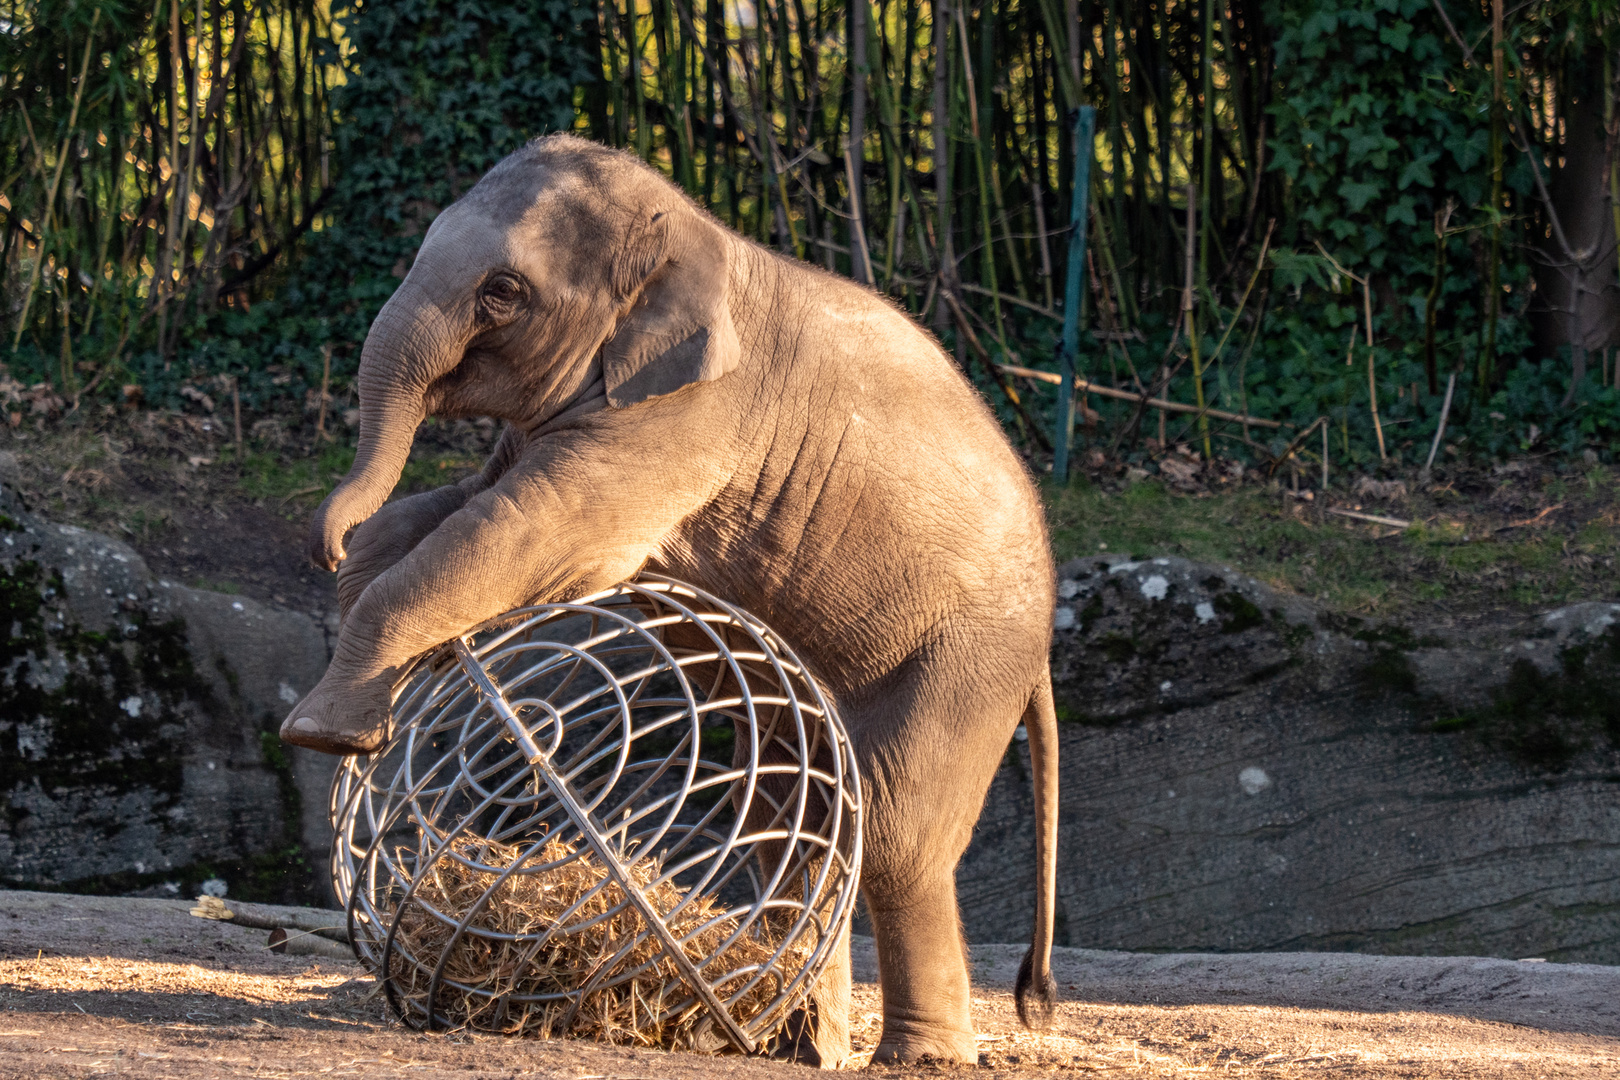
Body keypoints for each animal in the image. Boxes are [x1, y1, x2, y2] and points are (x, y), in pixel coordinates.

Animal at [283, 132, 1056, 1062]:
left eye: (504, 292)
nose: (322, 539)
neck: (697, 235)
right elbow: (460, 511)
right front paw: (364, 580)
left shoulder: (691, 415)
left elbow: (535, 534)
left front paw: (323, 731)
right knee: (802, 817)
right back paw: (793, 1037)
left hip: (968, 653)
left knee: (897, 834)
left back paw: (917, 1056)